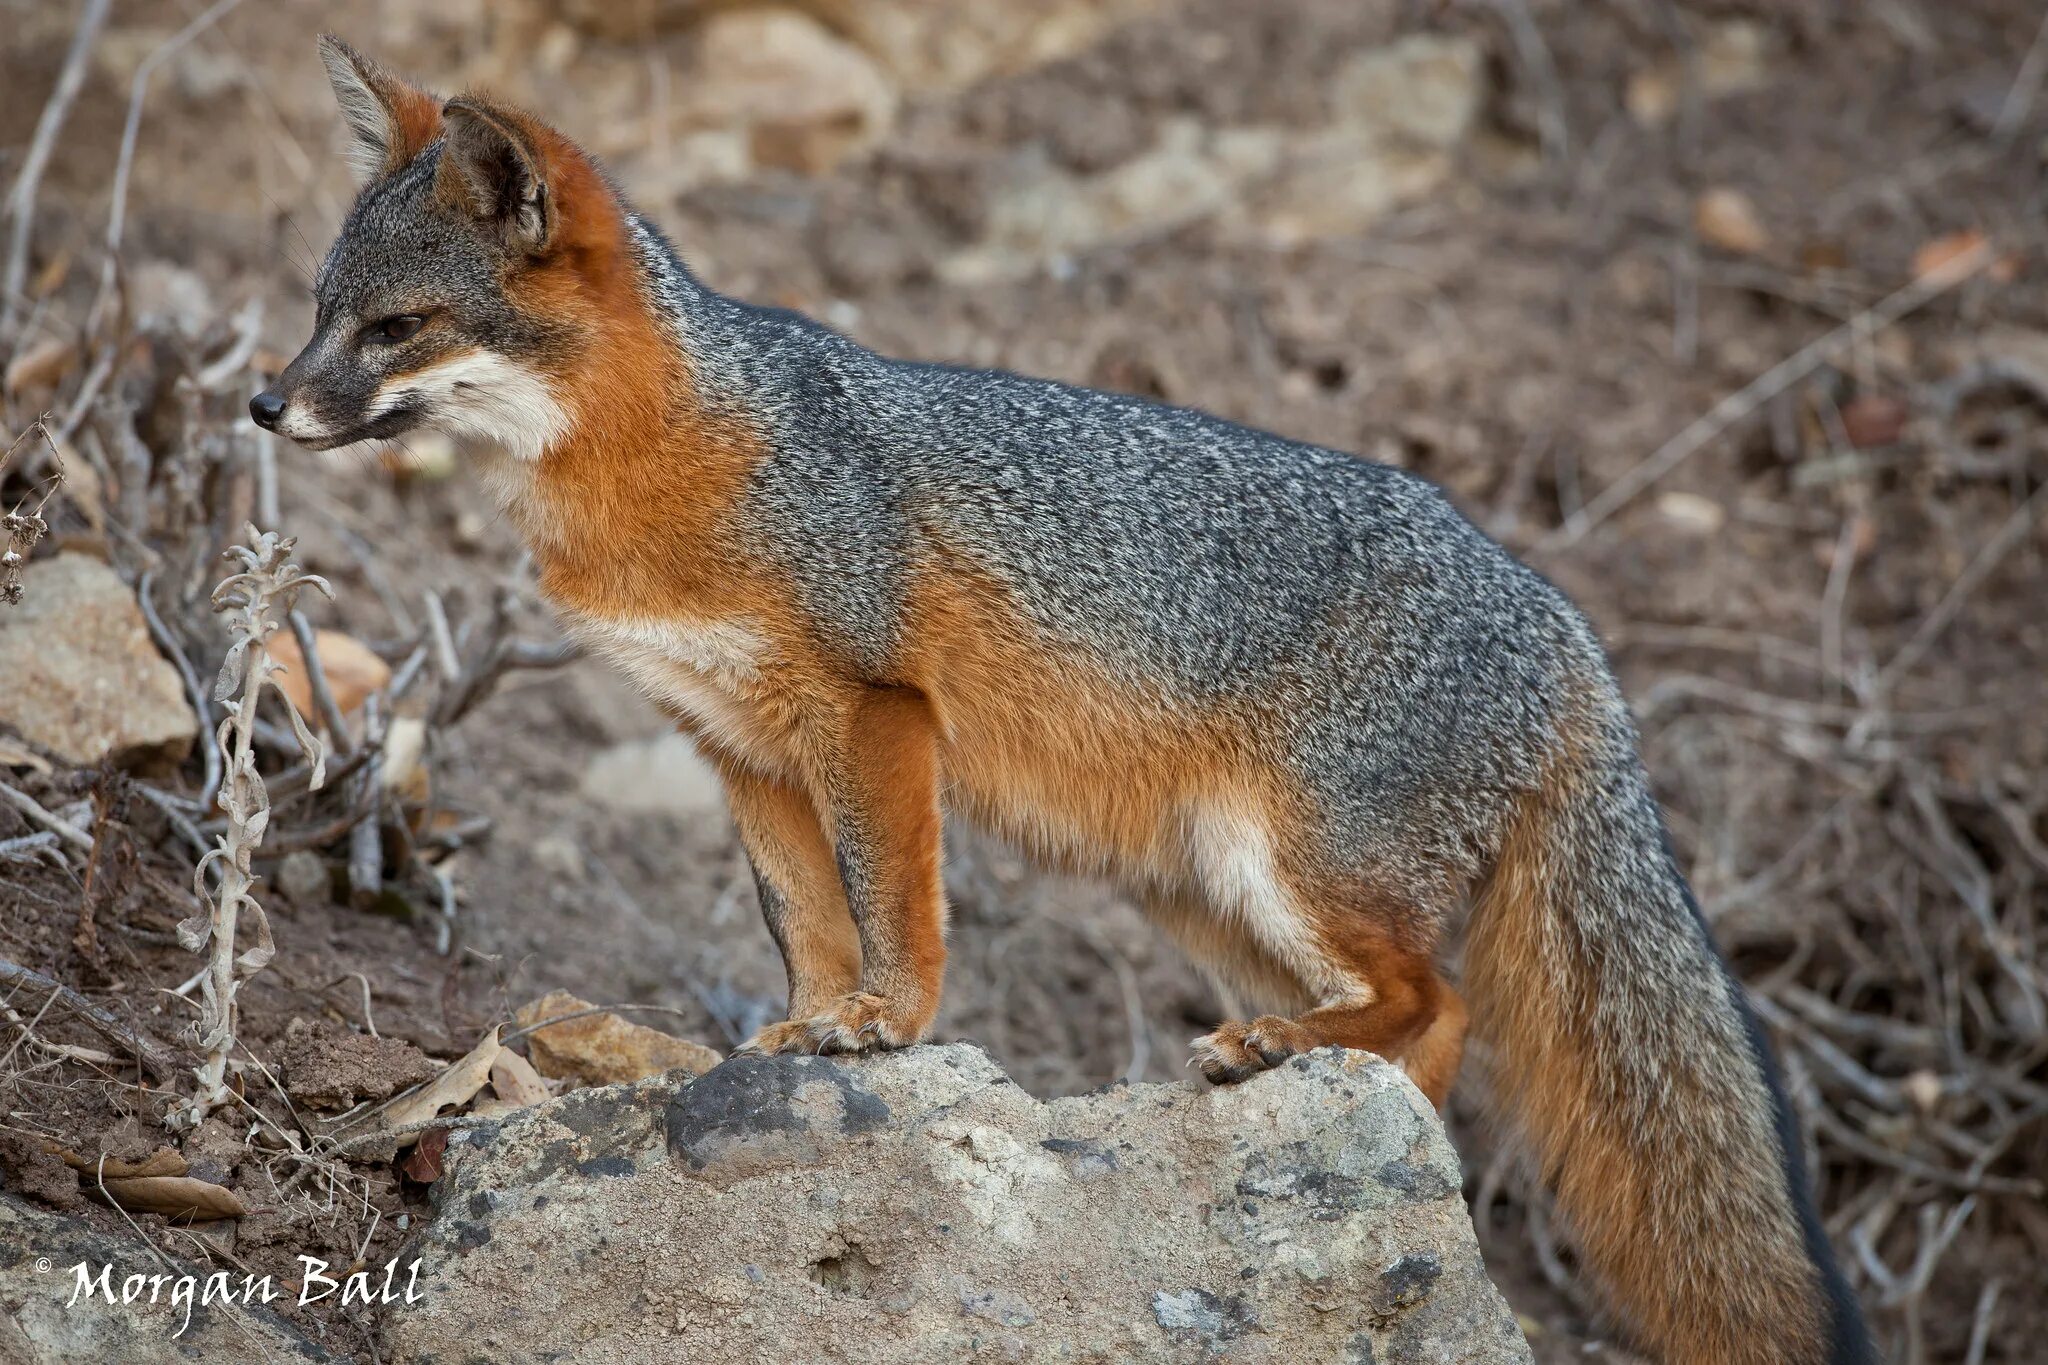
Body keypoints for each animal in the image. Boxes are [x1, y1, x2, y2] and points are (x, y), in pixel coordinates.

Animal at [251, 34, 1875, 1365]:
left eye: (394, 329)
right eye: (320, 312)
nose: (264, 405)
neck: (665, 465)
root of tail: (1568, 628)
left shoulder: (876, 712)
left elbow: (890, 899)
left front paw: (888, 1024)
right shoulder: (734, 746)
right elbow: (806, 920)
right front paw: (797, 1041)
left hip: (1300, 863)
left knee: (1442, 1005)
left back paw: (1282, 1060)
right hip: (1207, 890)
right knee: (1419, 1034)